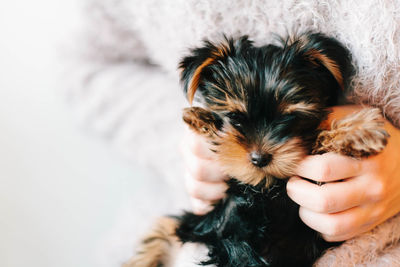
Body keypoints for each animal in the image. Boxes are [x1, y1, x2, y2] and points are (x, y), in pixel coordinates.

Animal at [126, 33, 390, 267]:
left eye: (290, 117)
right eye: (235, 117)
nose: (260, 158)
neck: (264, 188)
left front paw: (358, 131)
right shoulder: (217, 222)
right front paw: (200, 118)